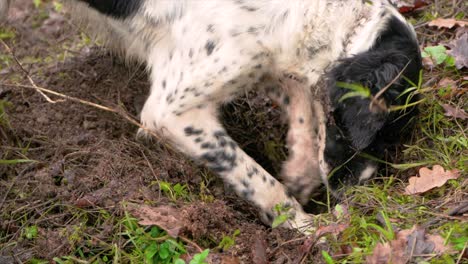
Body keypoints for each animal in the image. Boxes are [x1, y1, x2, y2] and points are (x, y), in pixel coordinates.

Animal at [0, 0, 420, 231]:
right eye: (378, 133)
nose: (360, 199)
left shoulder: (263, 60)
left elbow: (302, 104)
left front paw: (300, 175)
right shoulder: (170, 111)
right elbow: (257, 178)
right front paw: (303, 225)